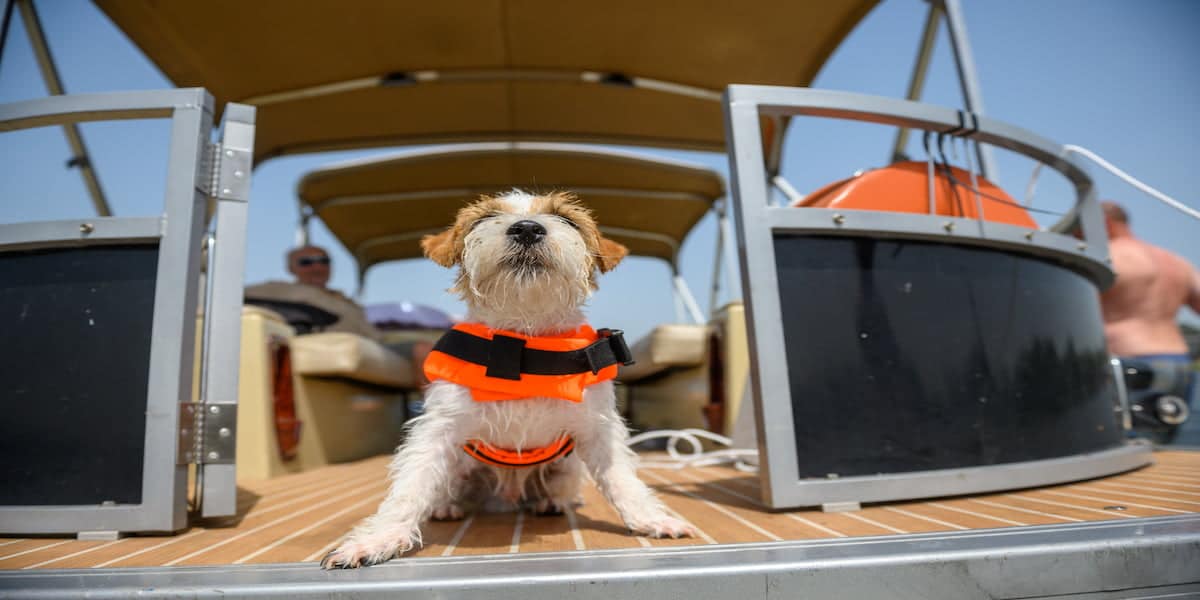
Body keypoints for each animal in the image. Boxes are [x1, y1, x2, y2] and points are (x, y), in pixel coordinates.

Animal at [321, 190, 696, 566]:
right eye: (484, 218)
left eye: (567, 219)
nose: (527, 228)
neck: (525, 341)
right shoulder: (438, 428)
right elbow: (410, 486)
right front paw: (378, 540)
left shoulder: (597, 427)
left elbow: (622, 479)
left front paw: (651, 519)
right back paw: (447, 507)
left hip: (566, 468)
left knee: (561, 487)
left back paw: (552, 502)